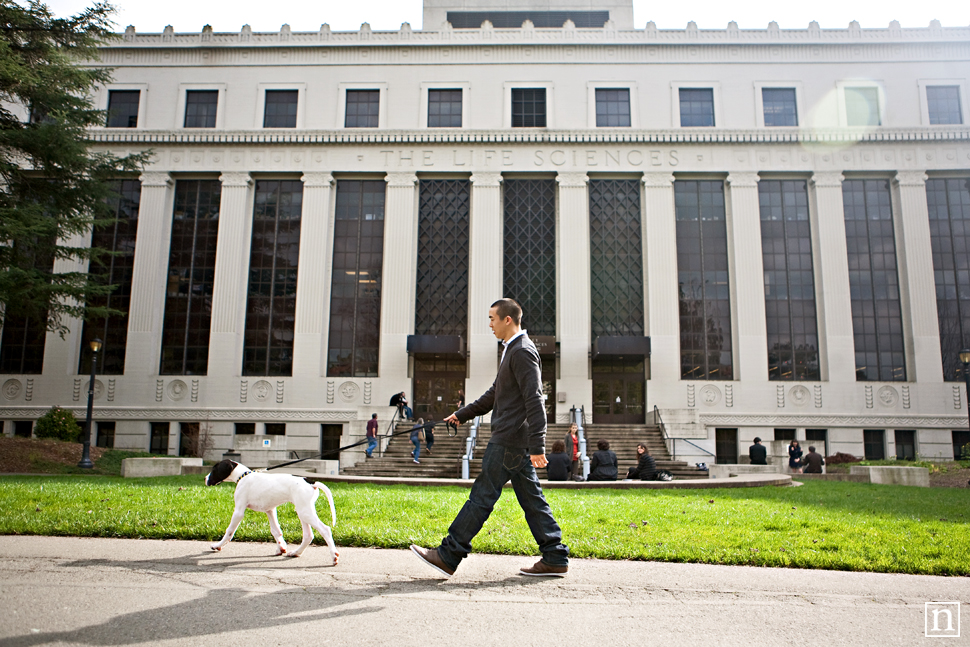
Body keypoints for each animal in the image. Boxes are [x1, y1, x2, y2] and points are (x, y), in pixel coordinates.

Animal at [204, 458, 340, 564]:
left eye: (214, 469)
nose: (205, 478)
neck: (243, 476)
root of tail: (311, 482)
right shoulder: (270, 510)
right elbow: (276, 531)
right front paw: (281, 548)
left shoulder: (238, 511)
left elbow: (229, 531)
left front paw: (218, 545)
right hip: (303, 511)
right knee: (308, 535)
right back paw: (296, 552)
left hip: (305, 512)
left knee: (325, 530)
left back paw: (334, 556)